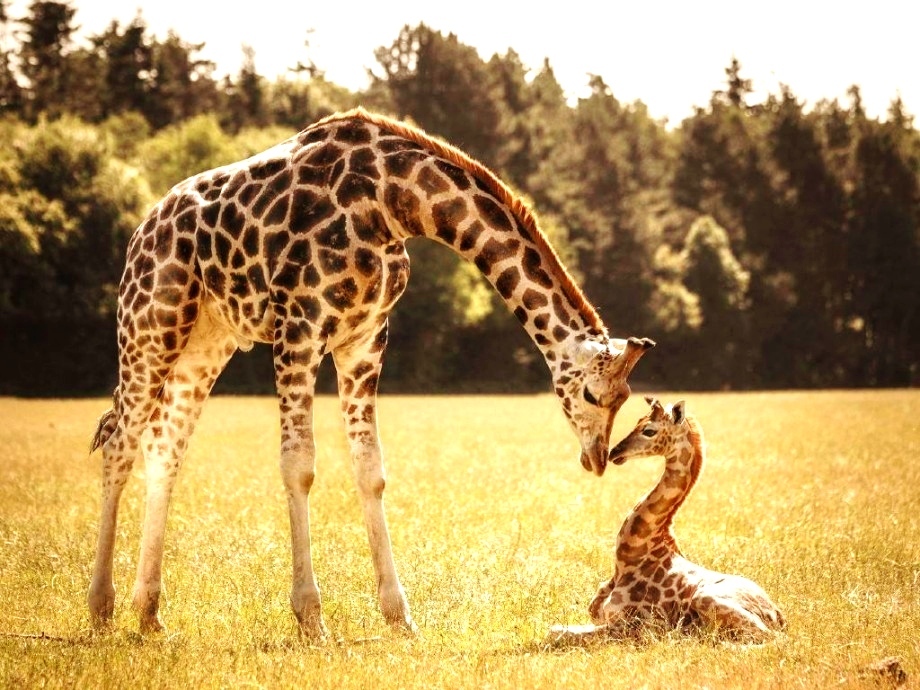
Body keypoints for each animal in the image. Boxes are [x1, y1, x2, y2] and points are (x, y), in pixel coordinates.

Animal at [90, 107, 656, 640]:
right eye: (592, 393)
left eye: (625, 397)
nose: (597, 458)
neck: (392, 201)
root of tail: (142, 231)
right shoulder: (300, 327)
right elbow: (298, 465)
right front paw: (311, 618)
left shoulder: (364, 339)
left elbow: (370, 469)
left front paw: (398, 616)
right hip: (151, 322)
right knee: (120, 444)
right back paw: (100, 608)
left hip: (206, 340)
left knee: (164, 449)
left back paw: (150, 614)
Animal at [552, 396, 784, 644]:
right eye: (637, 422)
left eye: (649, 430)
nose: (614, 452)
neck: (628, 559)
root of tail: (779, 615)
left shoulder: (631, 627)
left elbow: (555, 632)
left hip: (707, 599)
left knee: (771, 639)